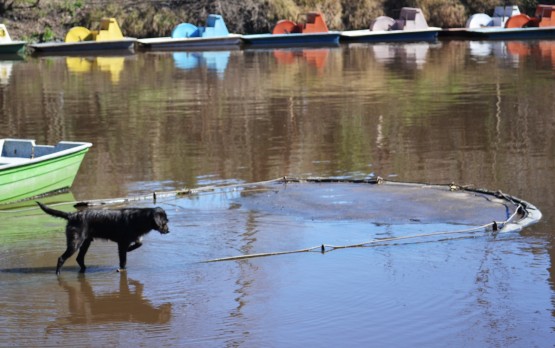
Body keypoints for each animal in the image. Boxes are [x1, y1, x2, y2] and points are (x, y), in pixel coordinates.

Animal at [37, 201, 169, 274]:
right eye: (164, 222)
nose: (168, 230)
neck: (139, 219)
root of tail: (72, 215)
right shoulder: (122, 243)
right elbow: (123, 260)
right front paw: (123, 268)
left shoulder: (135, 238)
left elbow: (139, 244)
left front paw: (130, 249)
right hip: (76, 242)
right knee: (61, 258)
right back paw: (58, 273)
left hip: (86, 242)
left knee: (79, 258)